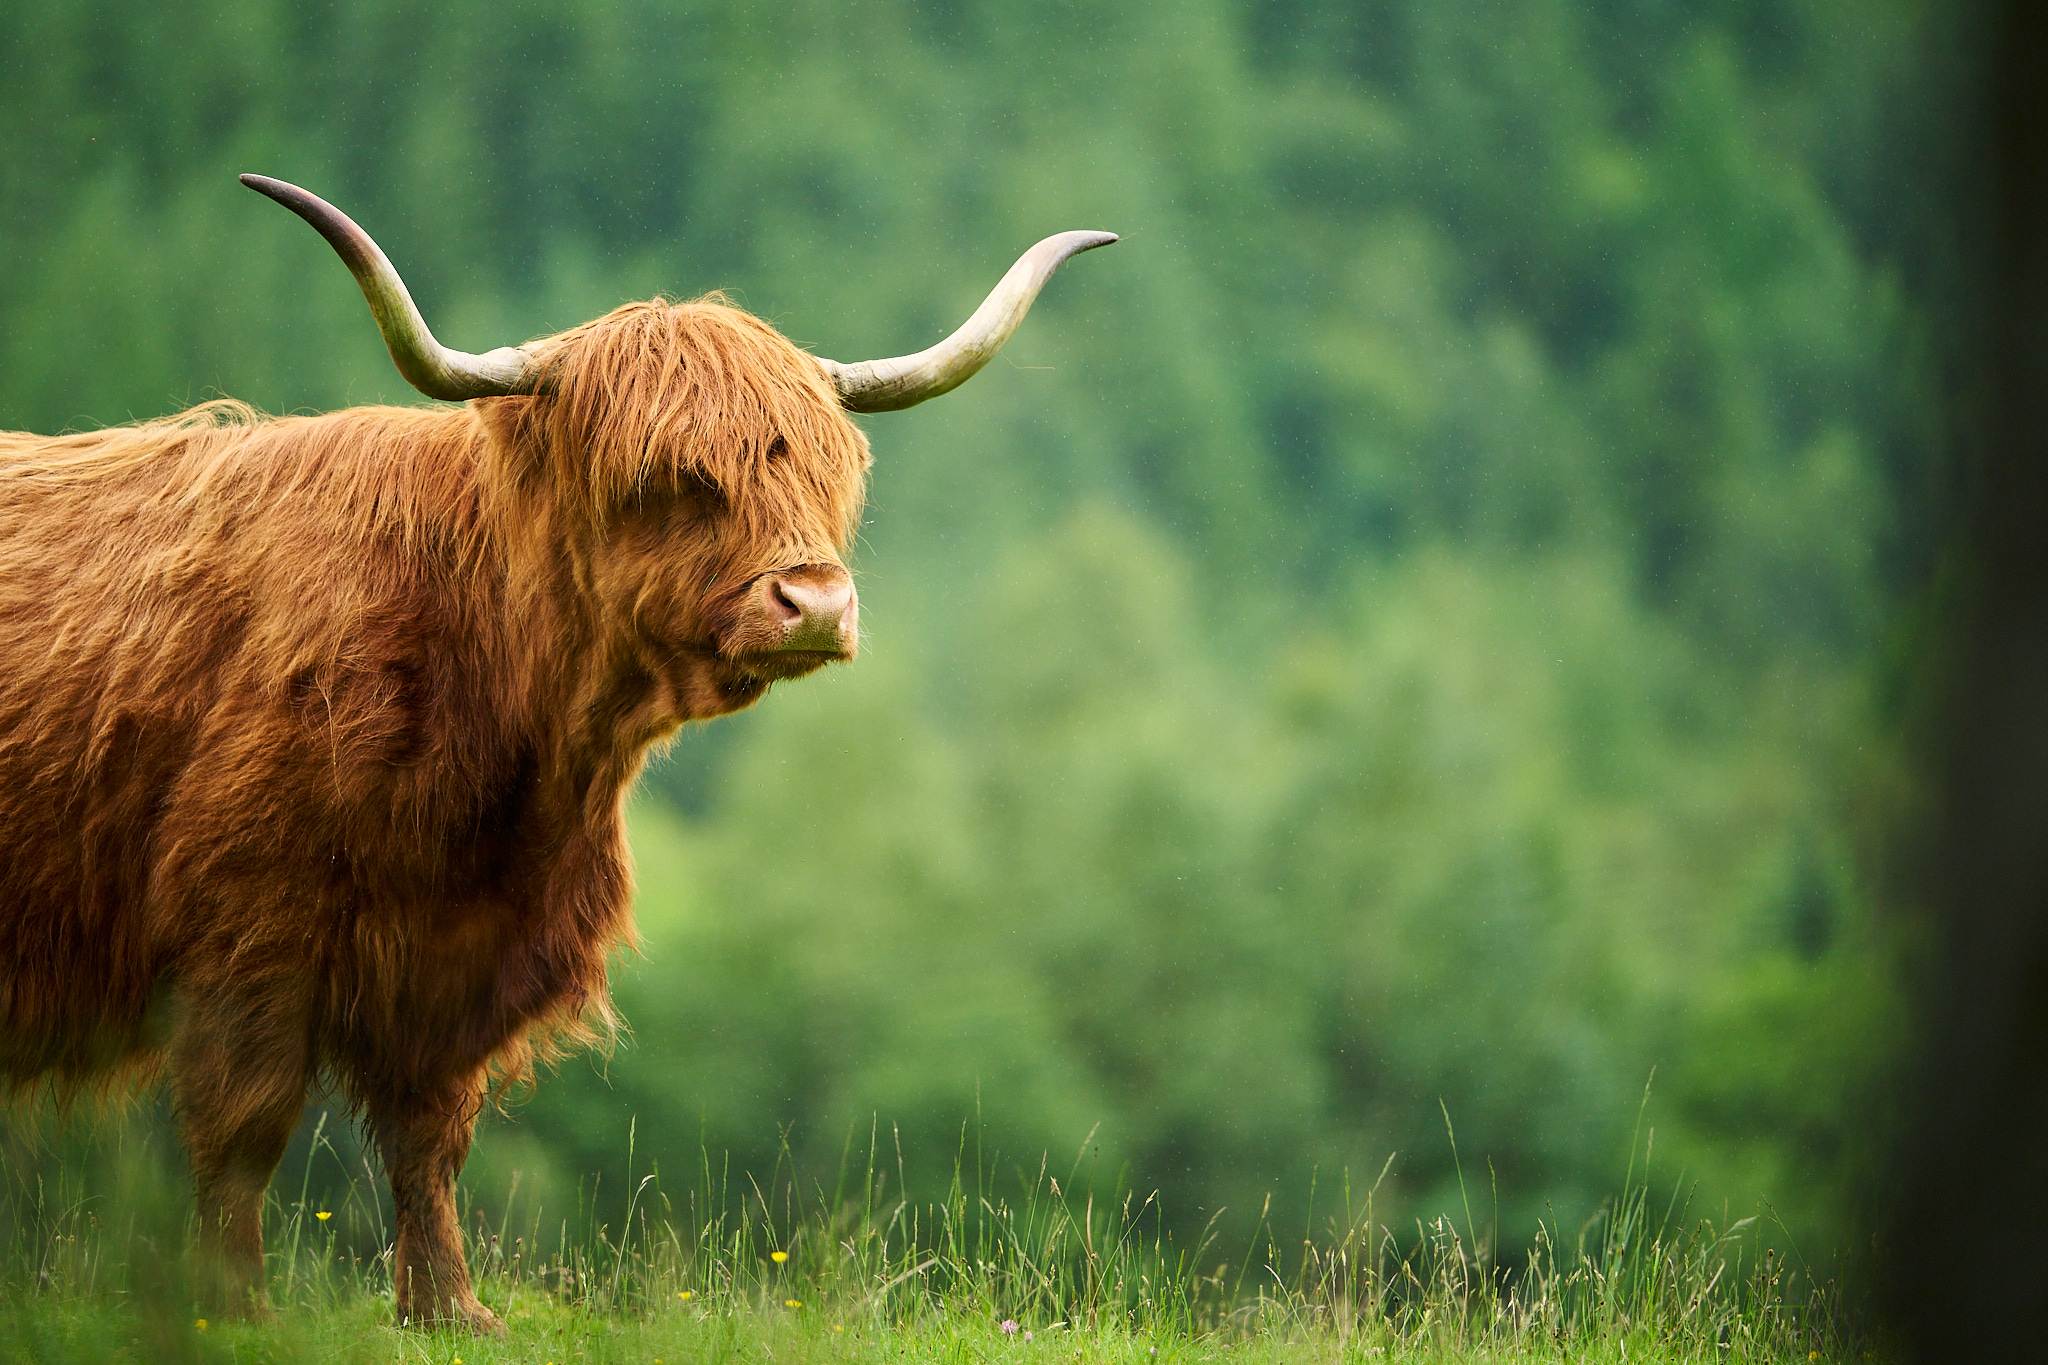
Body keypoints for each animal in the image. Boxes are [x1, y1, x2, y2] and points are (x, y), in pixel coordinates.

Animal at [0, 174, 1113, 1330]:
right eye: (672, 476)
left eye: (826, 467)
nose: (813, 603)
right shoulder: (246, 932)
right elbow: (244, 1129)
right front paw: (235, 1310)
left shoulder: (466, 954)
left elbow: (430, 1136)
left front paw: (449, 1308)